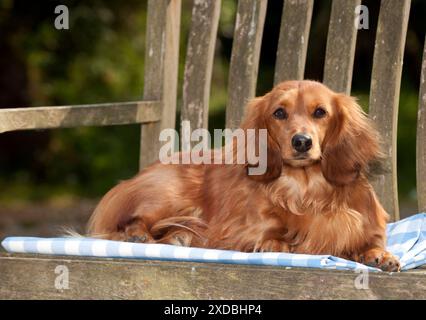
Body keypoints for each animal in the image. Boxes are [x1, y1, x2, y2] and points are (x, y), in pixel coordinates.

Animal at [88, 81, 402, 272]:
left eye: (320, 112)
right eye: (279, 113)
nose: (302, 142)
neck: (306, 190)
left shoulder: (368, 227)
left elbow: (371, 243)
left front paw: (381, 256)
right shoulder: (240, 230)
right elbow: (275, 235)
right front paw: (275, 243)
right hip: (169, 196)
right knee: (126, 221)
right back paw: (142, 234)